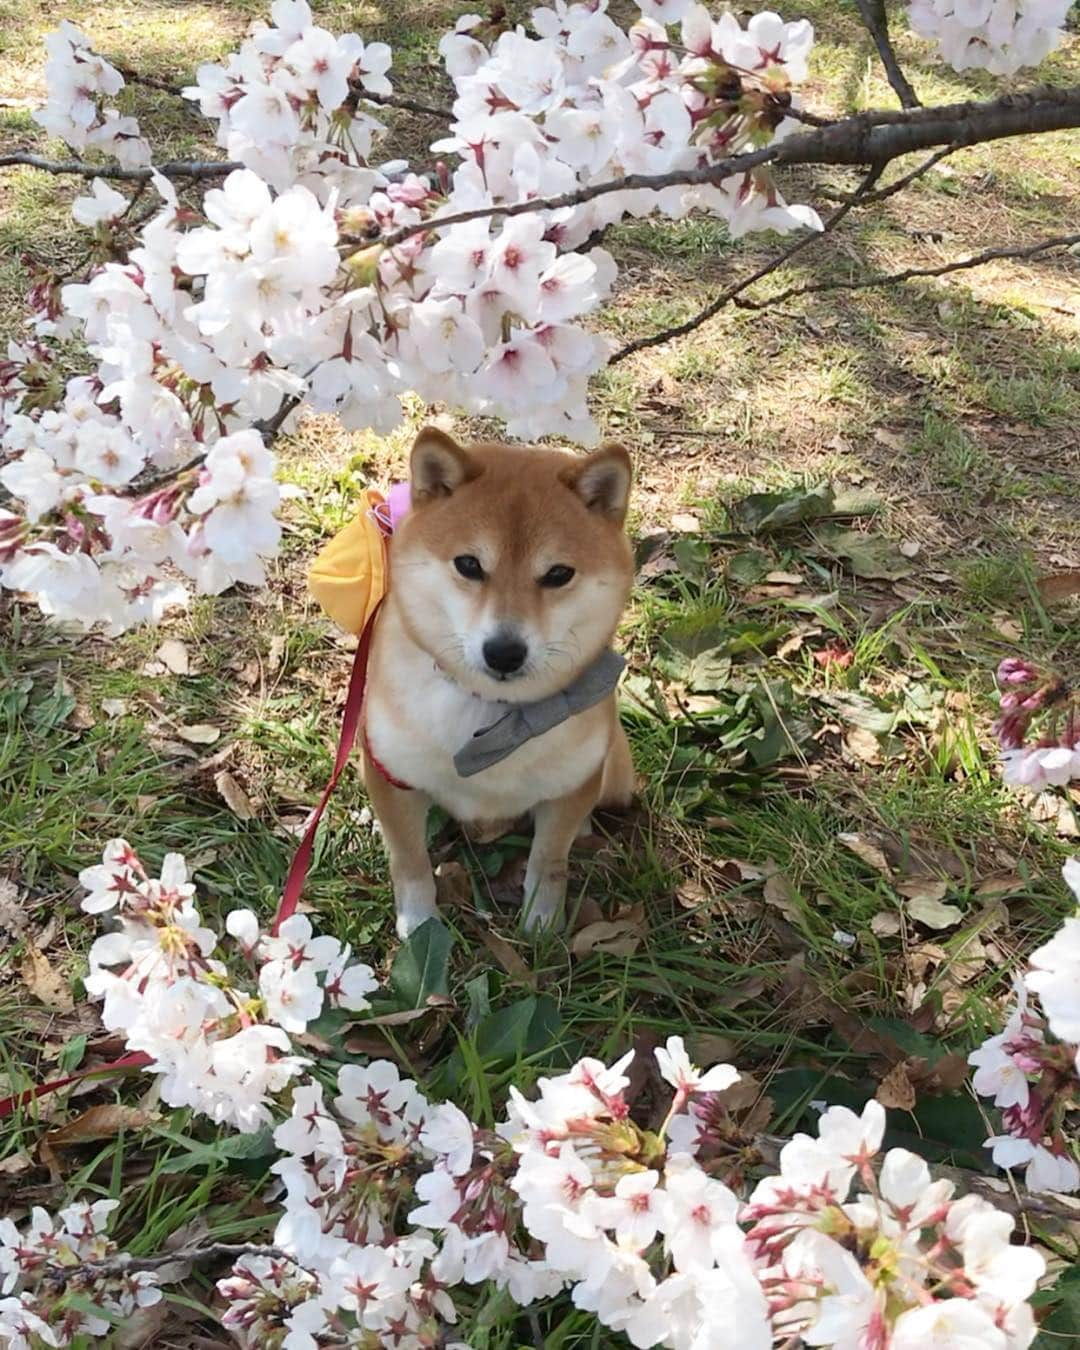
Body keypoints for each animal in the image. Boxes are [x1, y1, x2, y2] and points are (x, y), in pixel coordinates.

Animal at [364, 426, 631, 934]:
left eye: (558, 574)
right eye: (469, 565)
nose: (504, 651)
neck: (496, 717)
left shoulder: (571, 786)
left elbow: (550, 859)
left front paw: (542, 920)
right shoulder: (391, 773)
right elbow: (409, 861)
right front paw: (420, 923)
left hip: (615, 774)